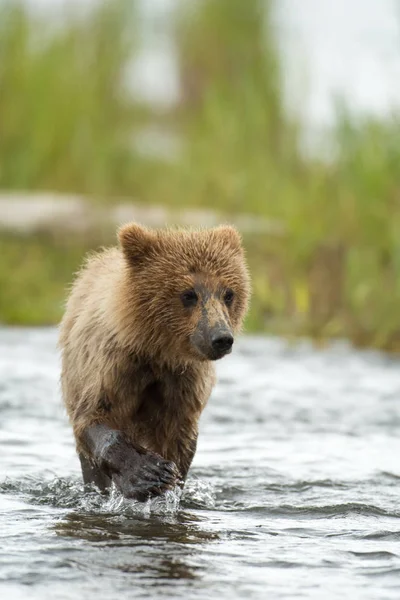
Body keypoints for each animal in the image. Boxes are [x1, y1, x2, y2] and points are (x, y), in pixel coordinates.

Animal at [59, 223, 250, 500]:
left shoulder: (183, 383)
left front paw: (164, 478)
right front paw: (146, 474)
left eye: (228, 293)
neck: (157, 352)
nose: (221, 338)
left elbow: (179, 440)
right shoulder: (111, 366)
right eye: (188, 294)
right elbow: (93, 417)